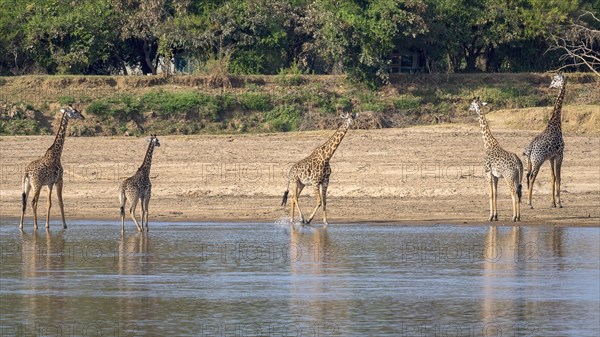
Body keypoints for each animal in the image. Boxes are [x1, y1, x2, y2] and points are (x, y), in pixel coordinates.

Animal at [524, 74, 564, 207]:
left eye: (555, 80)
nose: (550, 86)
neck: (556, 124)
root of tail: (529, 150)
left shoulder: (551, 157)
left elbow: (553, 177)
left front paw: (553, 203)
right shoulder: (560, 155)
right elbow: (559, 177)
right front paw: (559, 203)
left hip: (529, 162)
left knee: (526, 176)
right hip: (538, 161)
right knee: (532, 177)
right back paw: (529, 203)